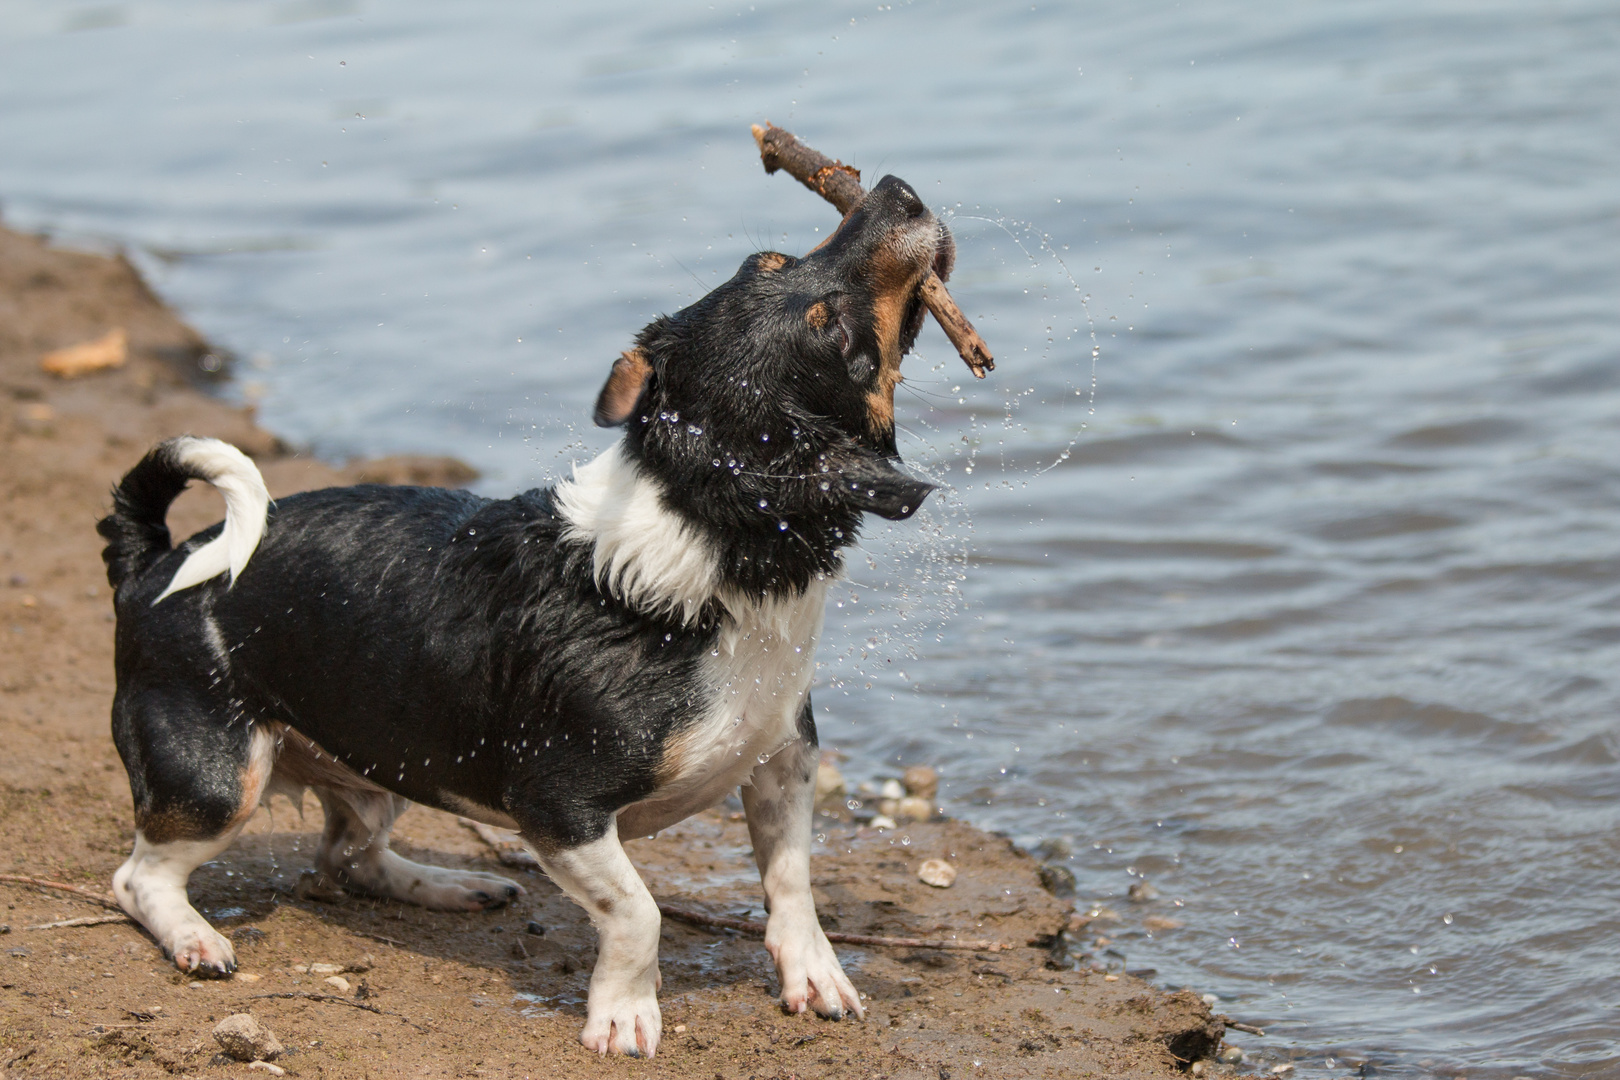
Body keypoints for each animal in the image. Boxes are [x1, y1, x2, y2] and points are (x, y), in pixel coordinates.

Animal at [98, 173, 946, 1062]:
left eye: (771, 259)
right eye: (837, 332)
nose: (899, 190)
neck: (704, 530)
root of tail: (155, 560)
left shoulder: (781, 757)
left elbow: (791, 880)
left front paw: (813, 974)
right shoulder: (557, 808)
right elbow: (639, 913)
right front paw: (624, 1013)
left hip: (379, 761)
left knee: (347, 856)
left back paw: (448, 883)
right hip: (217, 778)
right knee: (141, 876)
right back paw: (194, 937)